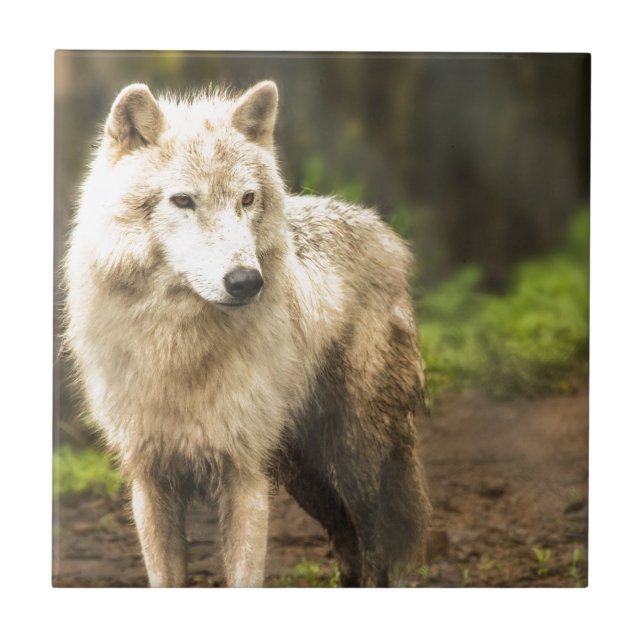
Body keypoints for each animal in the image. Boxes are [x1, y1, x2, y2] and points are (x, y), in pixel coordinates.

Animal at [64, 80, 431, 587]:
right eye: (183, 201)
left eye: (247, 199)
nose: (246, 282)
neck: (178, 349)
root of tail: (386, 234)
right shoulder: (151, 480)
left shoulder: (245, 476)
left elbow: (243, 576)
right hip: (308, 478)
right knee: (349, 548)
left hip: (360, 462)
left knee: (384, 550)